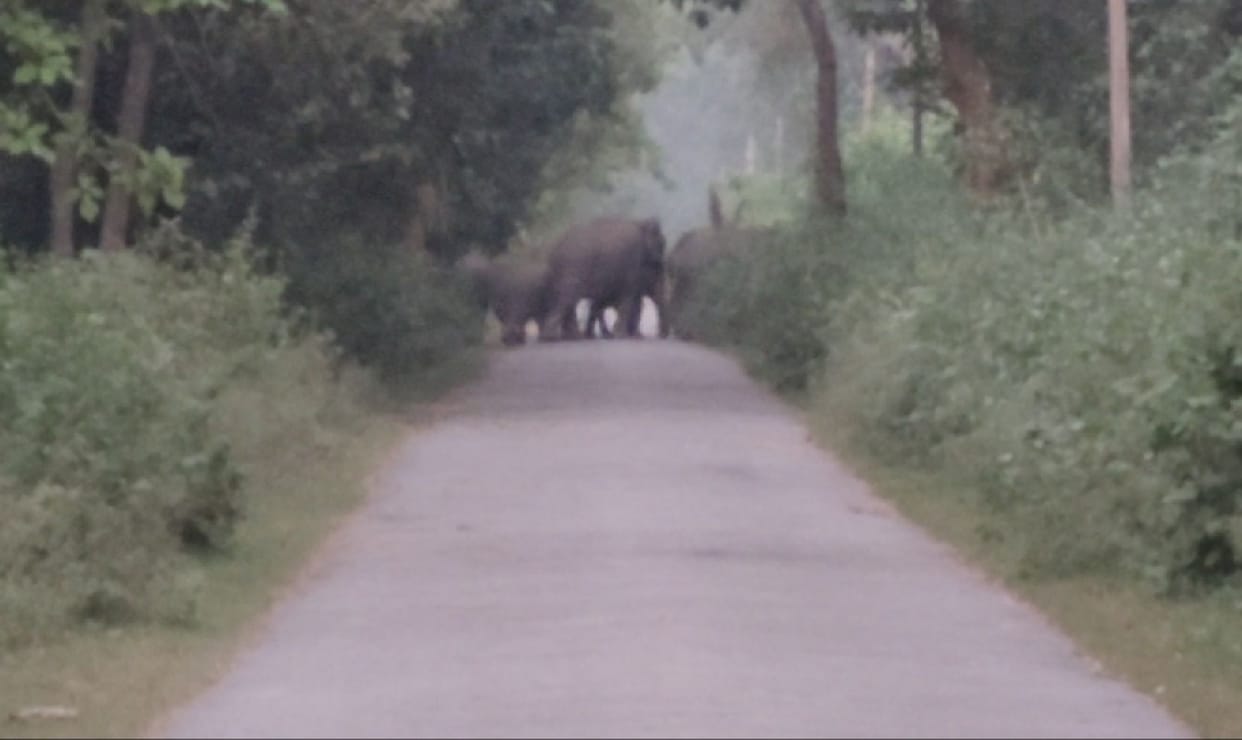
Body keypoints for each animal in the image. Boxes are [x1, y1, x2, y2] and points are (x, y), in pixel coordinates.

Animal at [539, 216, 667, 342]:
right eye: (661, 245)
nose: (661, 336)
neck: (640, 222)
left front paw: (630, 335)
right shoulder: (632, 263)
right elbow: (628, 298)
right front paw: (622, 336)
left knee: (569, 301)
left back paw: (575, 337)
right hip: (573, 267)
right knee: (566, 299)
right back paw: (553, 337)